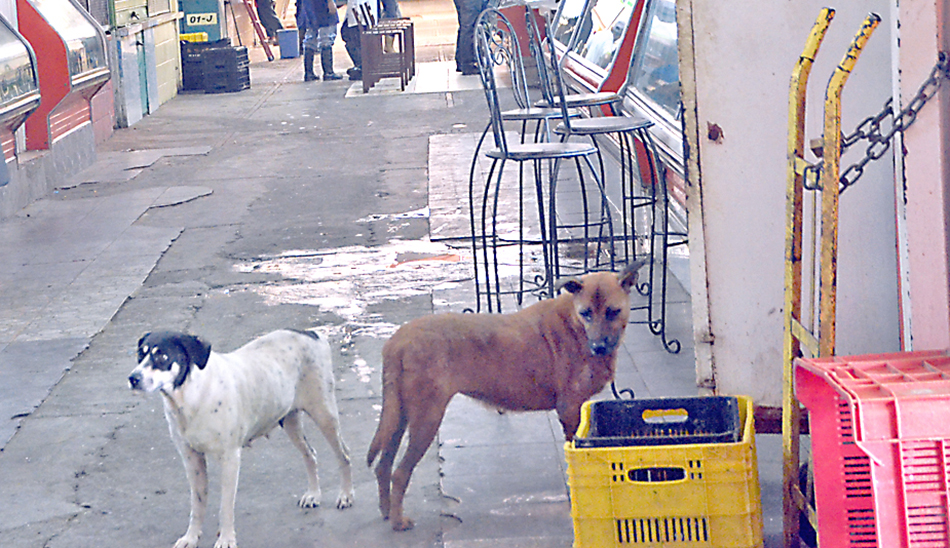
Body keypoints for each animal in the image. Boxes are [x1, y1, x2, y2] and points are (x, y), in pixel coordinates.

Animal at [366, 262, 648, 532]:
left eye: (613, 311)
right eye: (586, 313)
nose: (598, 347)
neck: (576, 327)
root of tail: (397, 340)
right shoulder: (569, 410)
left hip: (399, 417)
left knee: (383, 465)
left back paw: (386, 511)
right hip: (427, 419)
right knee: (400, 473)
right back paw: (398, 522)